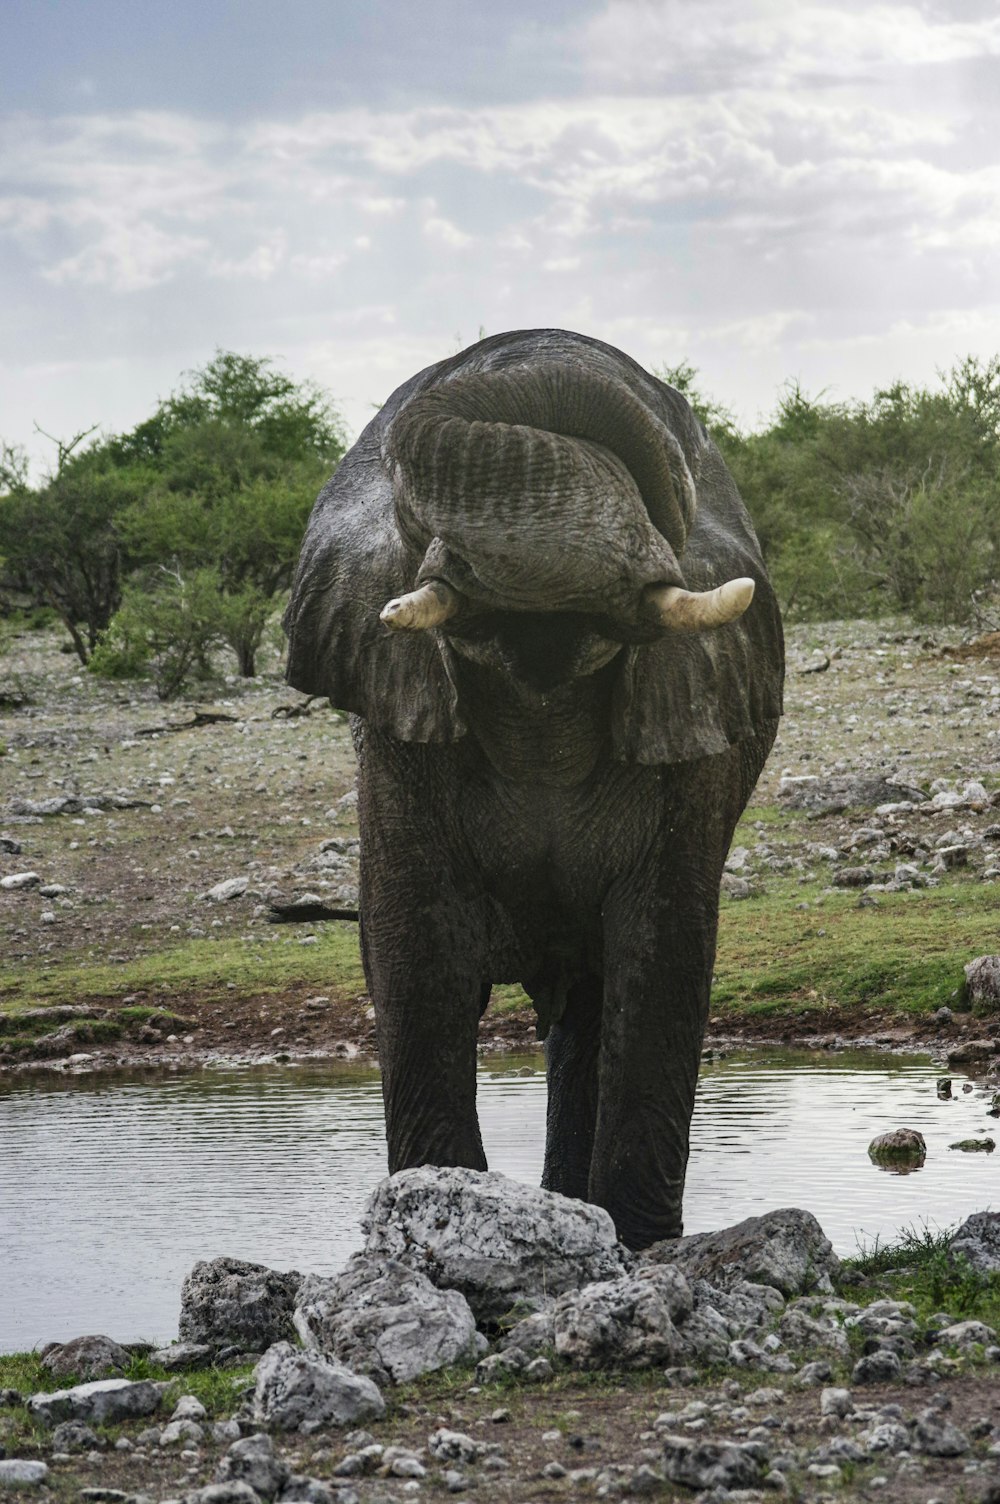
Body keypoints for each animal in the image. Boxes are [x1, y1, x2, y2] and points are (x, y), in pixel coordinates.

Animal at [281, 329, 781, 1245]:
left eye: (675, 468)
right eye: (410, 516)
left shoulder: (698, 718)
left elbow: (662, 956)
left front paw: (640, 1245)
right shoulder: (398, 732)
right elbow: (416, 953)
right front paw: (432, 1211)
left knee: (590, 1012)